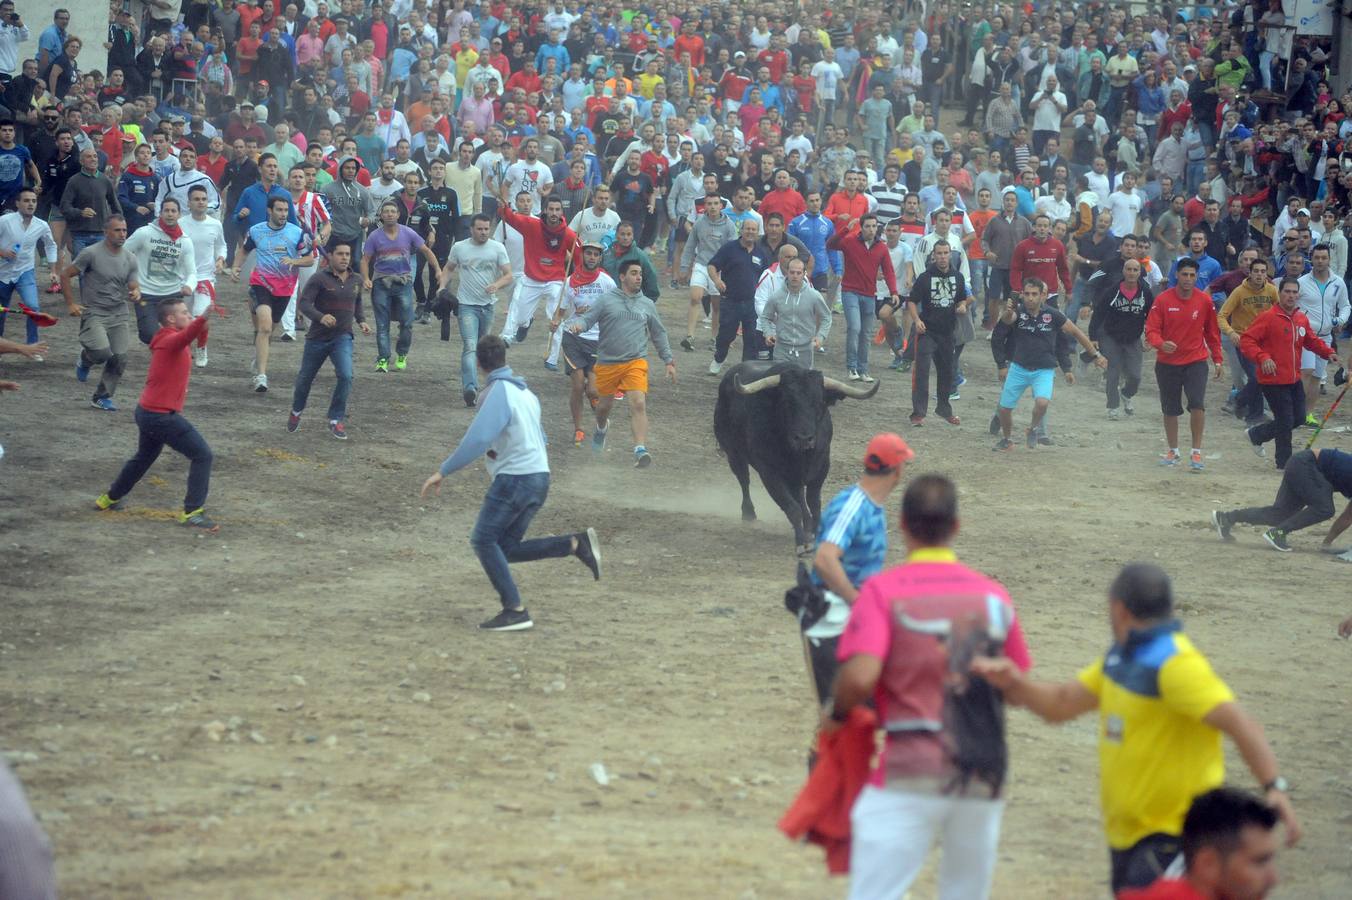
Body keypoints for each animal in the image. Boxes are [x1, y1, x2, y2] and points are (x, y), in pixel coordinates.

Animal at [713, 362, 881, 551]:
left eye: (820, 402)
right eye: (786, 402)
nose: (804, 439)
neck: (798, 455)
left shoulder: (822, 467)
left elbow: (813, 503)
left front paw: (814, 533)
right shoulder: (769, 473)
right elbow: (791, 506)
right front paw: (801, 542)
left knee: (799, 494)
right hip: (733, 454)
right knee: (744, 480)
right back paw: (749, 513)